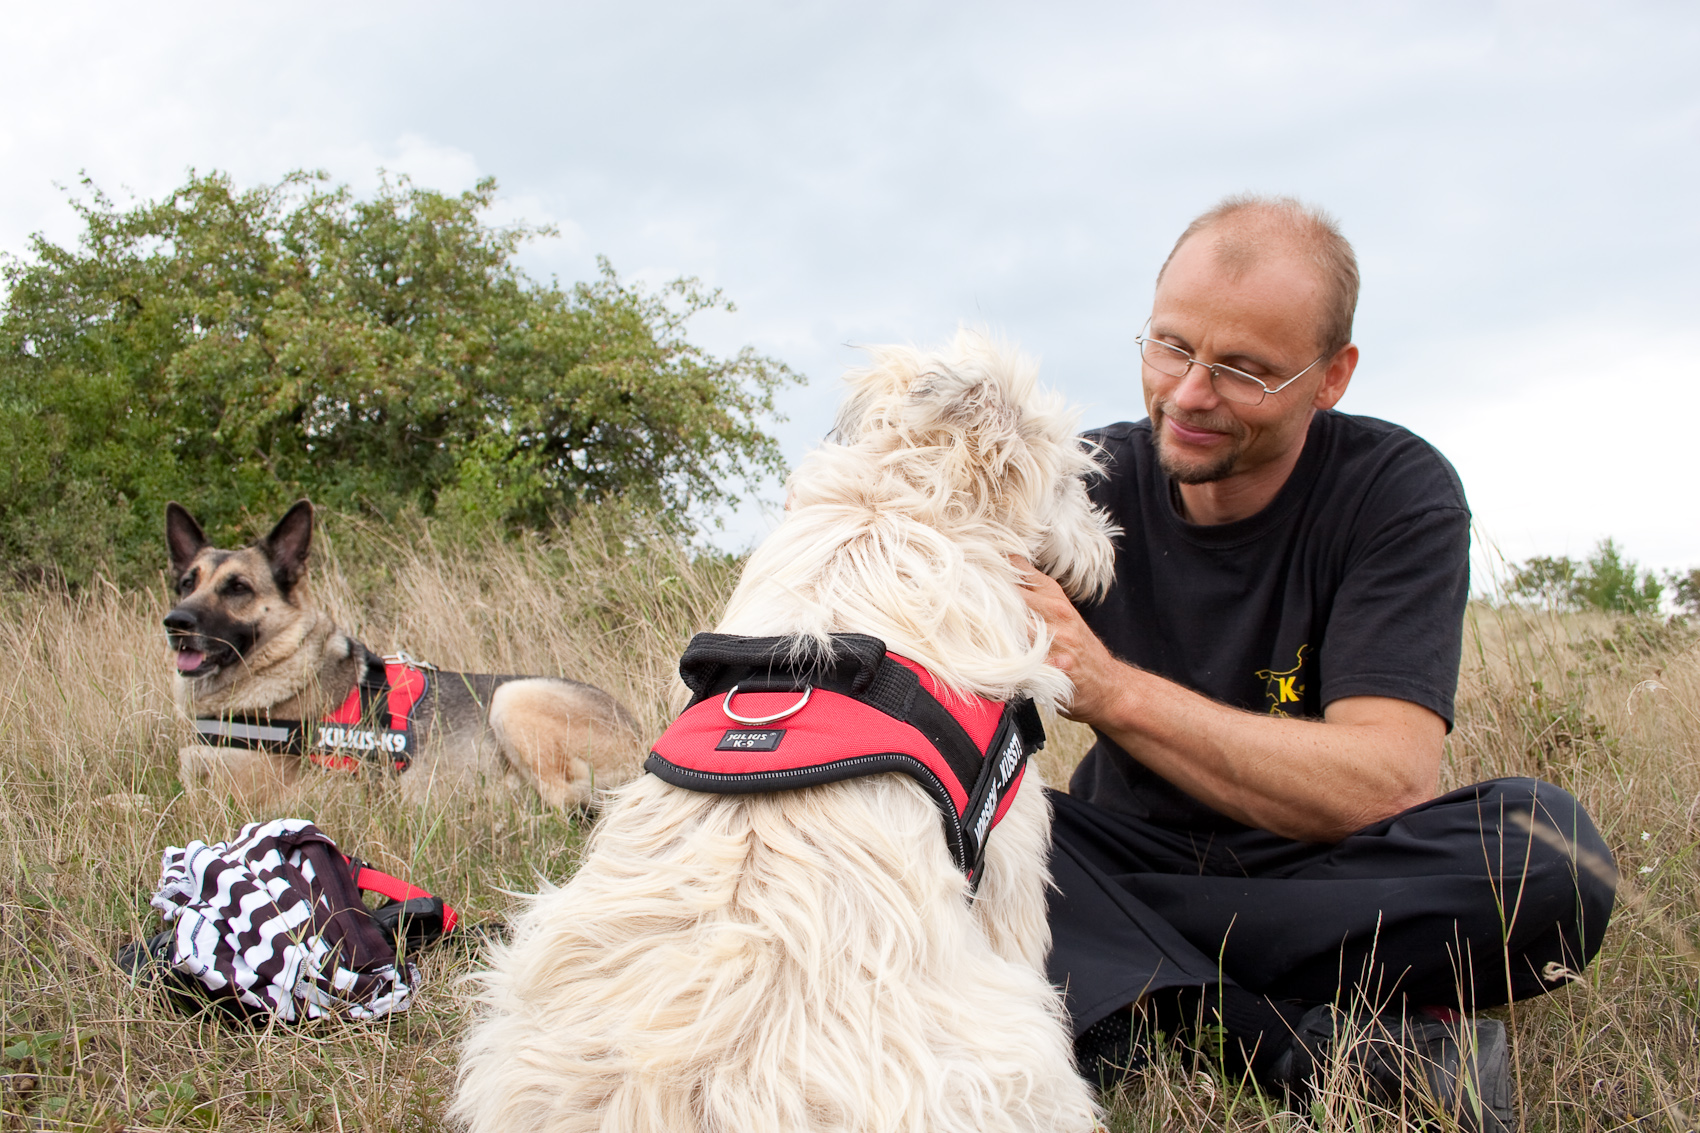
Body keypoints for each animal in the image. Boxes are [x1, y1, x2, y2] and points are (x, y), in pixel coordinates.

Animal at [163, 500, 643, 809]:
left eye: (238, 588)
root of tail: (639, 736)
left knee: (562, 802)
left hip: (511, 698)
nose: (175, 623)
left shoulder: (247, 797)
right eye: (187, 583)